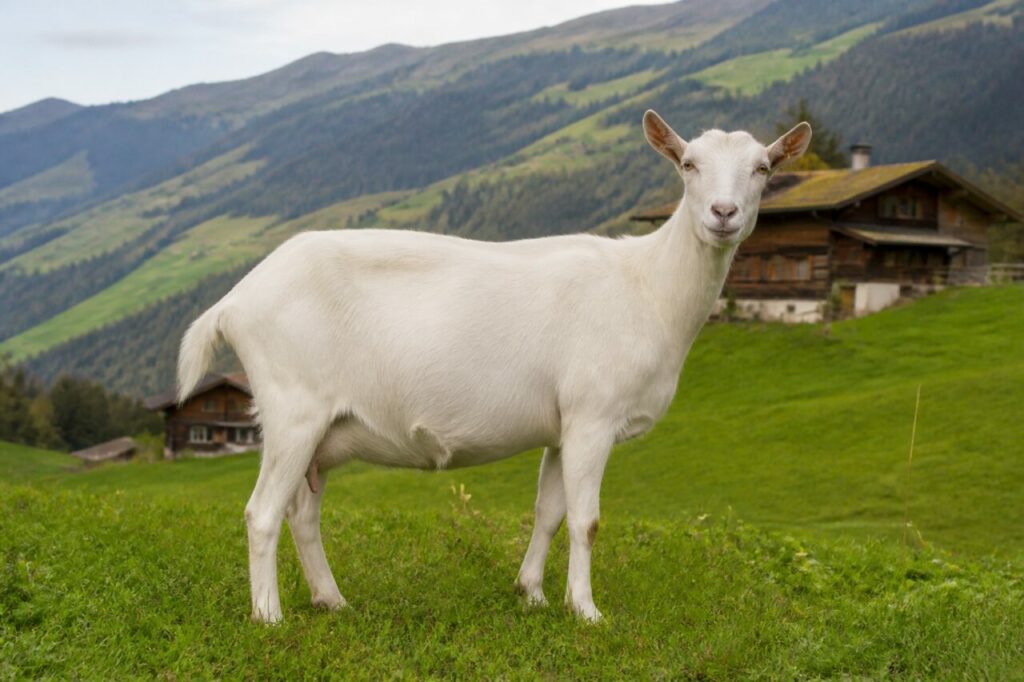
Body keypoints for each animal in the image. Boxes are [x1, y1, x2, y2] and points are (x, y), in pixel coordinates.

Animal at [177, 110, 811, 623]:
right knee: (262, 512)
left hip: (322, 430)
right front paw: (586, 611)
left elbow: (549, 512)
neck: (647, 286)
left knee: (302, 513)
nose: (723, 213)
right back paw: (269, 617)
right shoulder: (593, 416)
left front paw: (531, 593)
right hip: (293, 409)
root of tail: (235, 300)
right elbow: (586, 519)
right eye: (687, 164)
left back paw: (332, 601)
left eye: (762, 168)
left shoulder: (562, 427)